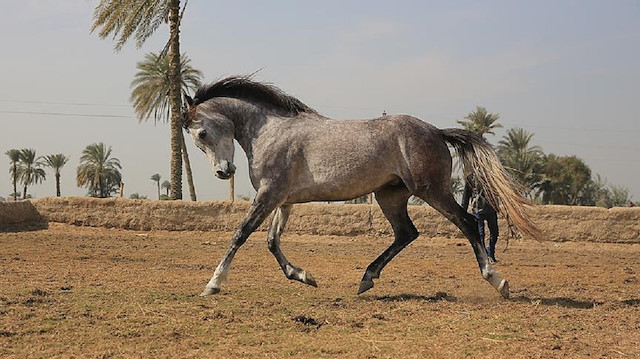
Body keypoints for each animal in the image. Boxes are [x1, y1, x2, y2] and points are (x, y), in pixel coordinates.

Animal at [185, 76, 540, 300]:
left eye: (201, 133)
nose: (223, 172)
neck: (271, 131)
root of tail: (437, 131)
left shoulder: (268, 195)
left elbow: (241, 234)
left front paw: (213, 284)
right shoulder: (282, 199)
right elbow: (273, 242)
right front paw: (304, 276)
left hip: (431, 190)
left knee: (466, 222)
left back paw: (497, 280)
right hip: (390, 195)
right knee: (406, 233)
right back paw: (366, 279)